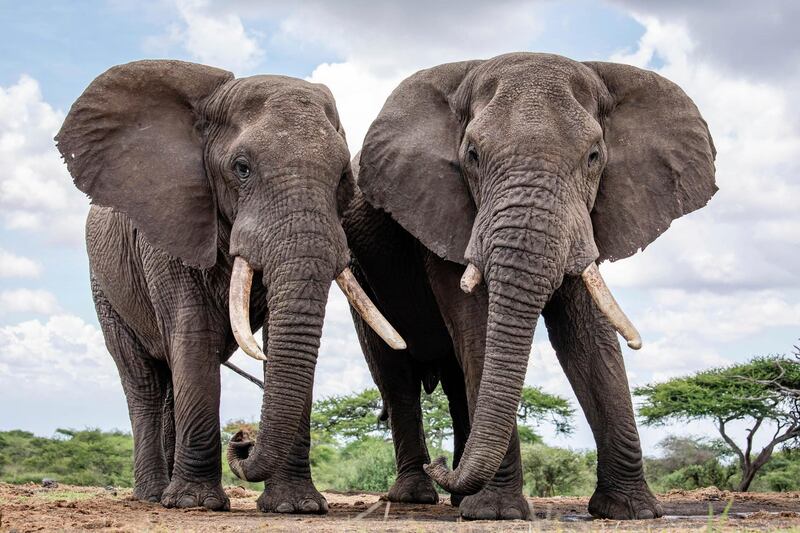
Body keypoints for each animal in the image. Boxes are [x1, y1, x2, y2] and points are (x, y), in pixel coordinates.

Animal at [55, 60, 404, 512]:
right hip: (104, 287)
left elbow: (274, 339)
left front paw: (296, 507)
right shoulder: (169, 225)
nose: (241, 438)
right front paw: (195, 504)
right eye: (242, 168)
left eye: (344, 176)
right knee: (144, 381)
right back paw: (153, 495)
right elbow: (195, 334)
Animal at [340, 54, 716, 520]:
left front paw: (632, 511)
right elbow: (478, 326)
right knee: (397, 377)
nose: (441, 464)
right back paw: (416, 495)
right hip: (364, 282)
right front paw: (496, 513)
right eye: (472, 155)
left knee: (456, 380)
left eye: (594, 156)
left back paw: (457, 493)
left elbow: (588, 336)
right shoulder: (444, 210)